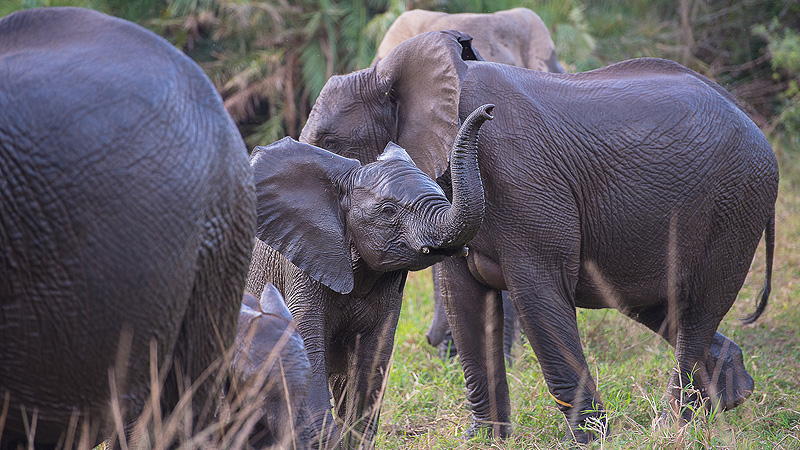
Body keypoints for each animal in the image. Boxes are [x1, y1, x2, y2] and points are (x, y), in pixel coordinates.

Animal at [245, 104, 493, 449]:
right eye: (388, 212)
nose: (489, 111)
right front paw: (326, 442)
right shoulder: (304, 266)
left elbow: (374, 354)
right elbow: (308, 344)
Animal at [298, 30, 779, 443]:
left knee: (696, 307)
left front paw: (592, 440)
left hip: (736, 205)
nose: (487, 112)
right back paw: (732, 396)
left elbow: (537, 293)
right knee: (661, 306)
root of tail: (753, 123)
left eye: (329, 142)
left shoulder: (521, 178)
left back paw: (674, 426)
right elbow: (465, 299)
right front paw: (483, 441)